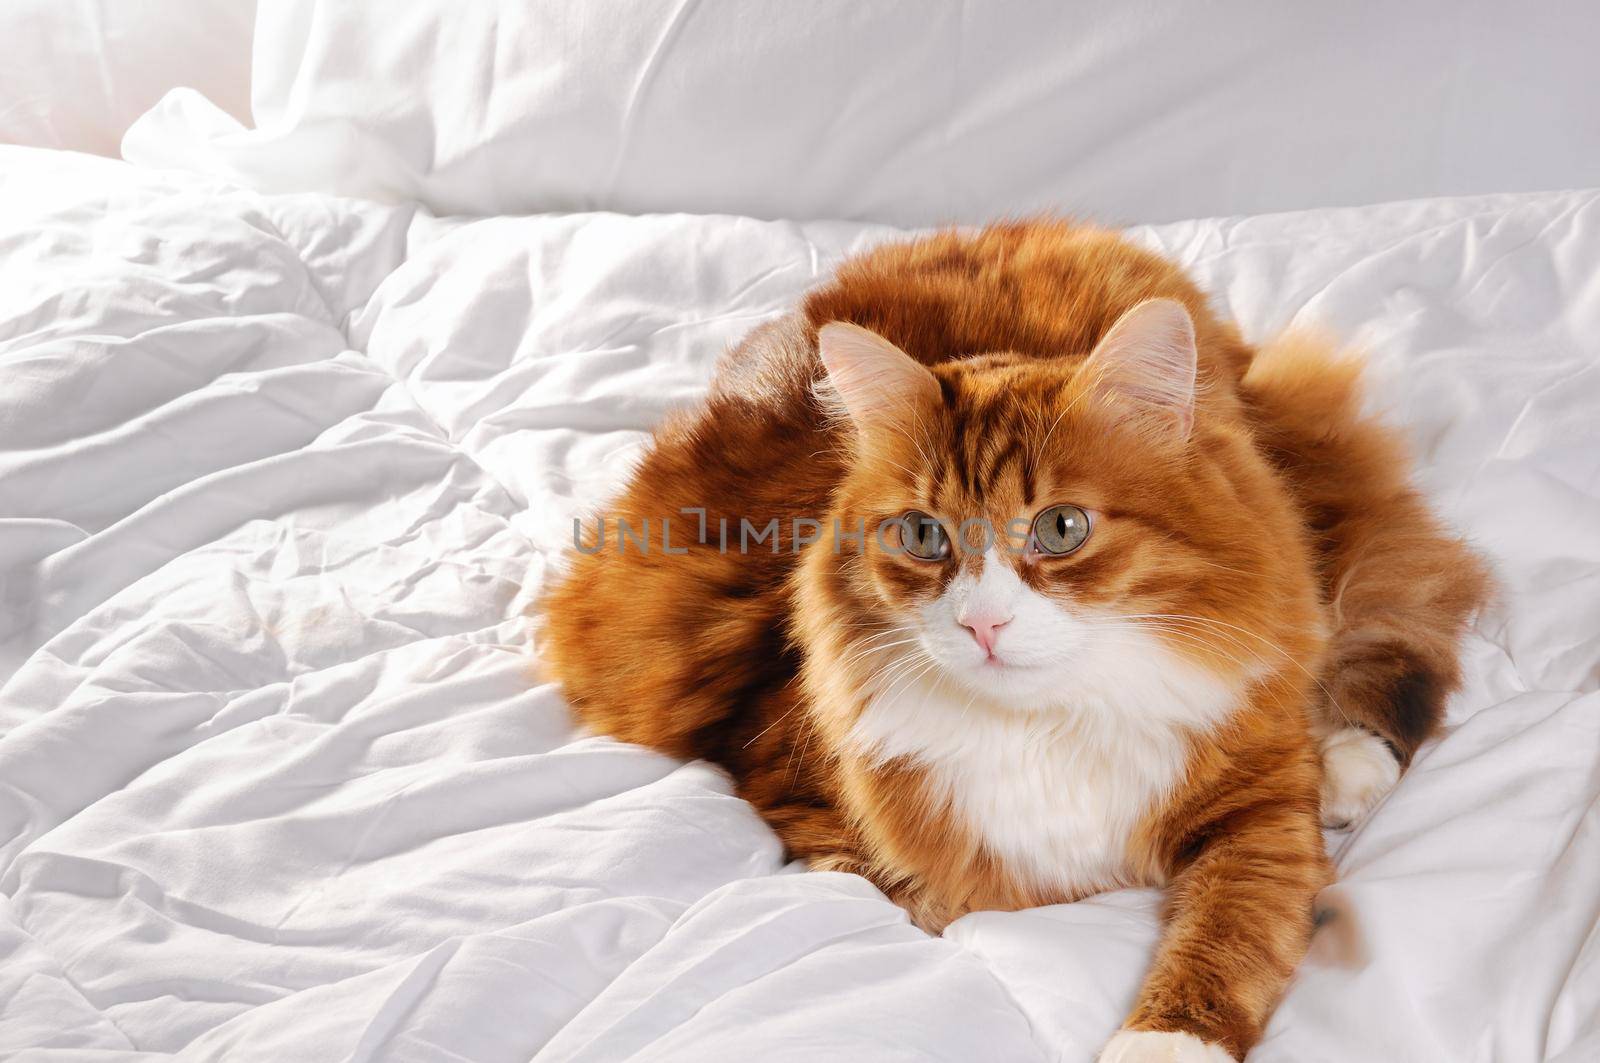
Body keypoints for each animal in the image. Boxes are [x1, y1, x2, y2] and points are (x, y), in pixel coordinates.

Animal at [537, 219, 1484, 1056]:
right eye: (923, 536)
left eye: (1061, 527)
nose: (981, 622)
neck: (1051, 724)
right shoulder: (797, 780)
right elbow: (907, 893)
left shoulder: (1258, 809)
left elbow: (1230, 935)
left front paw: (1162, 1043)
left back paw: (1349, 762)